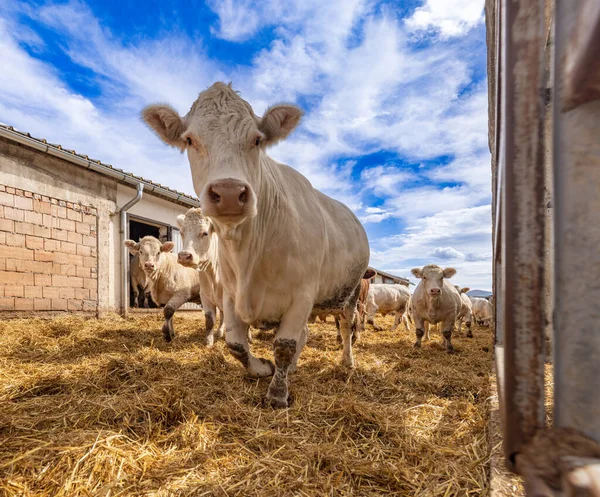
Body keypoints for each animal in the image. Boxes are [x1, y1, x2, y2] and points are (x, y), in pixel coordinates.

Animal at [144, 82, 370, 406]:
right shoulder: (230, 295)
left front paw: (277, 394)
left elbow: (285, 344)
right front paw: (264, 368)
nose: (228, 192)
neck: (249, 254)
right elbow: (236, 344)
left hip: (350, 294)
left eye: (257, 140)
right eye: (190, 140)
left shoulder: (302, 294)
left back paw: (347, 361)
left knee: (347, 327)